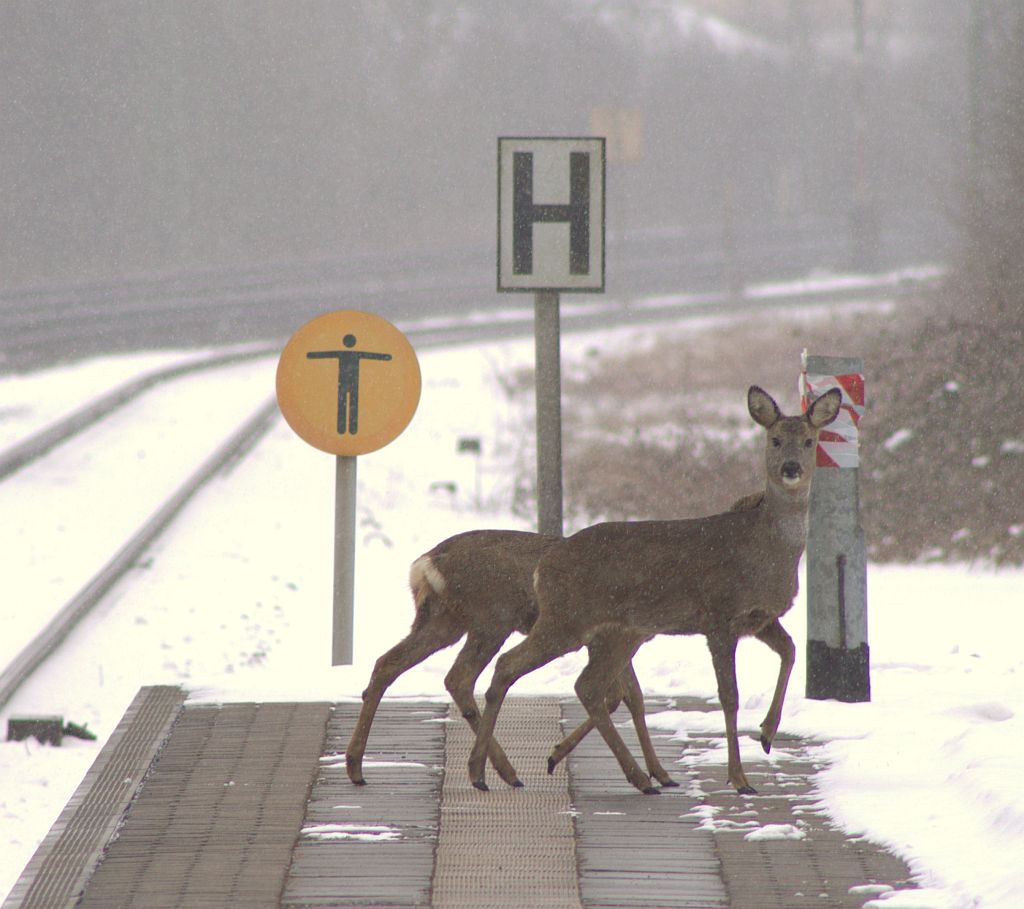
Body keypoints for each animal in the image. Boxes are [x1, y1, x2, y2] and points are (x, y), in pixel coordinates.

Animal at [344, 524, 679, 790]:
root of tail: (425, 564)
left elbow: (632, 697)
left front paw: (661, 773)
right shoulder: (614, 637)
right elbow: (620, 696)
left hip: (443, 620)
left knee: (388, 663)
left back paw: (355, 766)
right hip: (491, 620)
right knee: (460, 676)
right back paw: (500, 772)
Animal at [468, 384, 843, 794]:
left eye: (809, 441)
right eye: (774, 439)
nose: (791, 468)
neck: (767, 550)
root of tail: (543, 565)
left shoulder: (759, 618)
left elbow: (790, 651)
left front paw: (767, 734)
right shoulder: (719, 614)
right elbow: (729, 696)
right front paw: (740, 778)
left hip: (616, 632)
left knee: (588, 686)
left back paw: (621, 773)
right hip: (567, 620)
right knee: (510, 665)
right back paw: (485, 774)